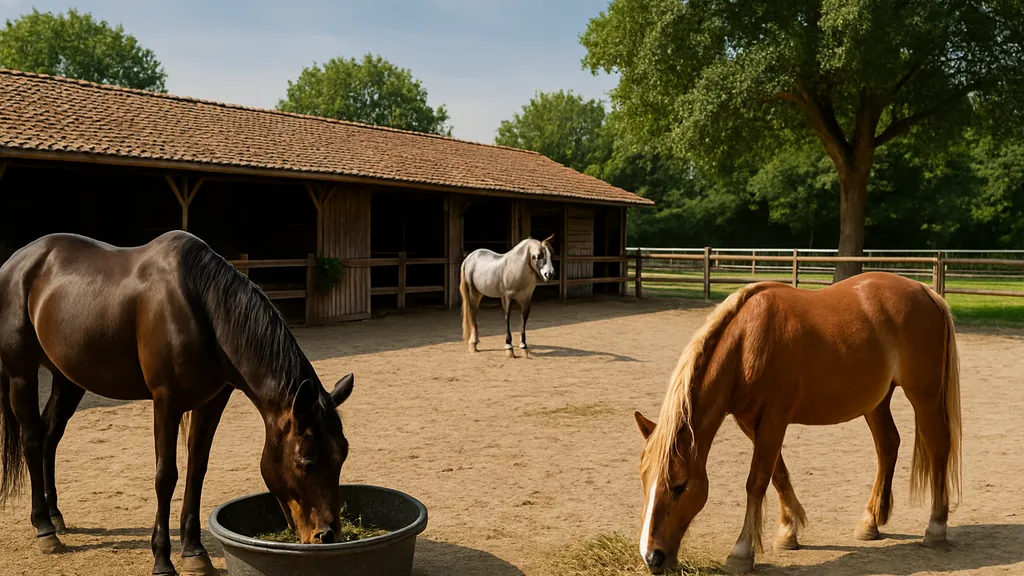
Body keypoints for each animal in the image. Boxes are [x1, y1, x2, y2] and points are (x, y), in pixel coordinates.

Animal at [0, 231, 355, 576]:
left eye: (341, 457)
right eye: (306, 462)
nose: (327, 535)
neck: (200, 309)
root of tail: (15, 263)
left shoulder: (211, 403)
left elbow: (197, 469)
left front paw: (194, 552)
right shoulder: (166, 403)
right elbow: (166, 476)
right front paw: (162, 559)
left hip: (69, 378)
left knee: (51, 435)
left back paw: (56, 515)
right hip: (22, 375)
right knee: (32, 438)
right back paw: (44, 527)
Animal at [632, 272, 961, 574]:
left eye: (679, 485)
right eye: (644, 481)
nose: (652, 557)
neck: (748, 343)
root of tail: (925, 291)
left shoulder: (773, 421)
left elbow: (757, 482)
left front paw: (742, 553)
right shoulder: (751, 423)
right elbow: (778, 474)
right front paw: (788, 533)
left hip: (924, 395)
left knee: (938, 446)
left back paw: (935, 527)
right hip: (877, 401)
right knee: (888, 445)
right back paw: (870, 522)